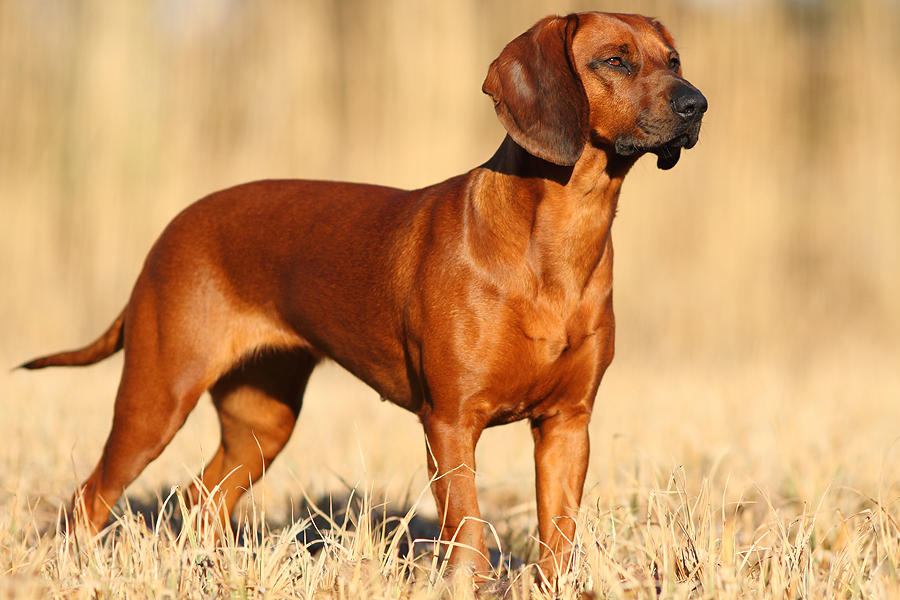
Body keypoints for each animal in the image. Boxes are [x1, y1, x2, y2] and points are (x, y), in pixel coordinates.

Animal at [22, 10, 704, 584]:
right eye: (614, 60)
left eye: (673, 59)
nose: (696, 103)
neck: (558, 241)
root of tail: (169, 232)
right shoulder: (451, 423)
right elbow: (468, 541)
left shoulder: (567, 425)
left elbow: (558, 544)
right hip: (156, 400)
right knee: (89, 498)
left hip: (262, 422)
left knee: (202, 500)